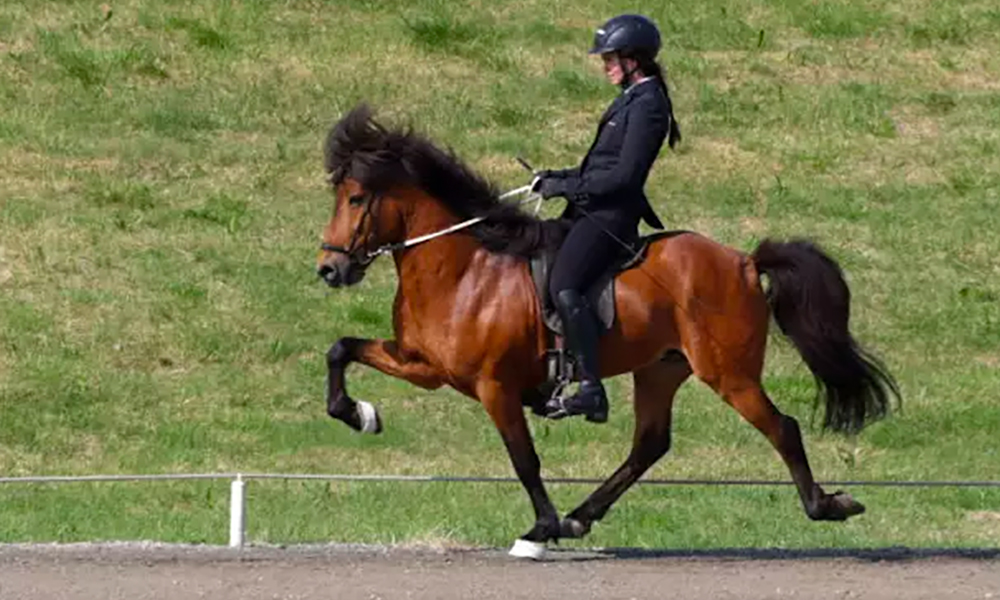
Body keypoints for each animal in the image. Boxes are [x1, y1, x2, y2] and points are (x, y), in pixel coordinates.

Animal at [316, 103, 904, 556]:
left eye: (355, 199)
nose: (330, 269)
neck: (466, 269)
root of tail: (742, 260)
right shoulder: (425, 365)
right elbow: (341, 349)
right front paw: (359, 414)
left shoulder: (494, 386)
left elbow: (524, 459)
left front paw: (540, 529)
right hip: (661, 370)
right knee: (649, 444)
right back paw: (581, 516)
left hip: (729, 373)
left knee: (782, 428)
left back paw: (827, 504)